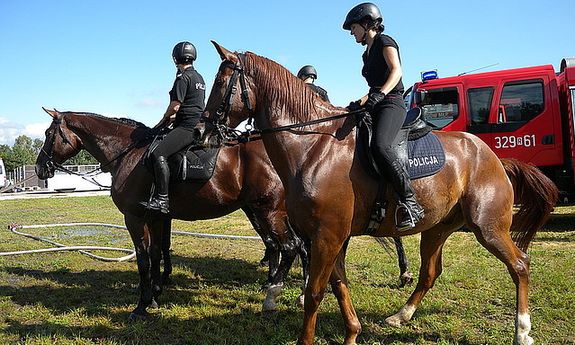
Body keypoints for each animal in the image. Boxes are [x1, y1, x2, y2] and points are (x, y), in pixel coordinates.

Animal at [34, 109, 310, 318]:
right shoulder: (157, 218)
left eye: (48, 134)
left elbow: (144, 259)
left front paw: (142, 305)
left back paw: (273, 295)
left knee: (290, 247)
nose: (40, 167)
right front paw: (156, 295)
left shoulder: (134, 218)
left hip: (268, 212)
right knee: (298, 247)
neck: (128, 153)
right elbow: (157, 253)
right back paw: (300, 293)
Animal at [202, 41, 560, 344]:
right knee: (429, 273)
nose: (202, 131)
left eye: (220, 83)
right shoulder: (329, 237)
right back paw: (401, 316)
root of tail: (494, 157)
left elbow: (316, 292)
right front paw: (352, 333)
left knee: (520, 265)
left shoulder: (327, 236)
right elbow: (339, 286)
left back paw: (522, 332)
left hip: (488, 227)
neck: (312, 146)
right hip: (437, 228)